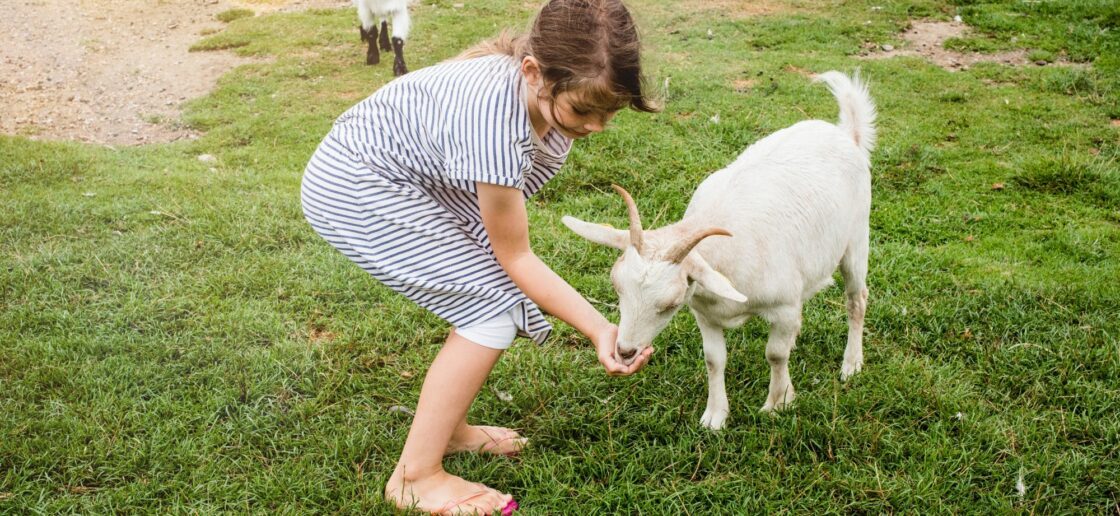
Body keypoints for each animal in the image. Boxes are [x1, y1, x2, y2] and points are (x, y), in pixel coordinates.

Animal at [568, 70, 873, 427]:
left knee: (856, 300)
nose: (626, 351)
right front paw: (715, 416)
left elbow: (775, 354)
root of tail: (846, 135)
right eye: (616, 286)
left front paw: (779, 402)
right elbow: (714, 359)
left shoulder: (783, 306)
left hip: (856, 239)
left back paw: (851, 364)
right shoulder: (705, 313)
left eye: (670, 304)